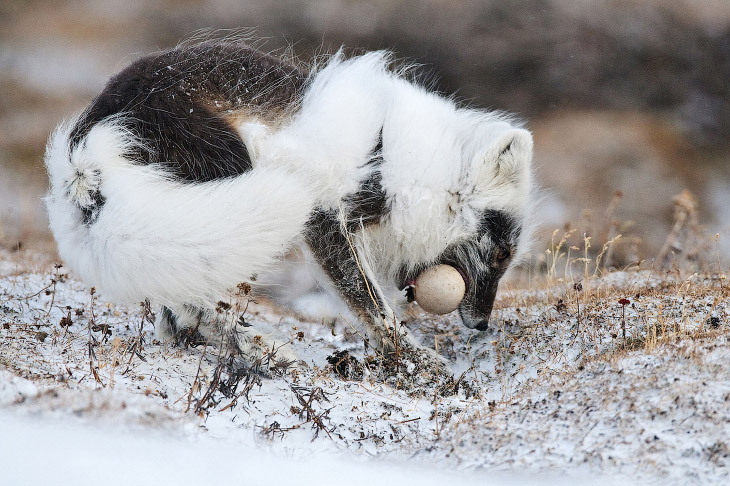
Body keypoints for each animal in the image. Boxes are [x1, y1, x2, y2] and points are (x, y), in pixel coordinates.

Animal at [47, 41, 536, 376]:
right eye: (500, 254)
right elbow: (373, 306)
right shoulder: (325, 217)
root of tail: (88, 139)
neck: (402, 166)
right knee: (197, 305)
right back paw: (269, 353)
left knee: (175, 310)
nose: (482, 325)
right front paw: (419, 364)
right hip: (232, 185)